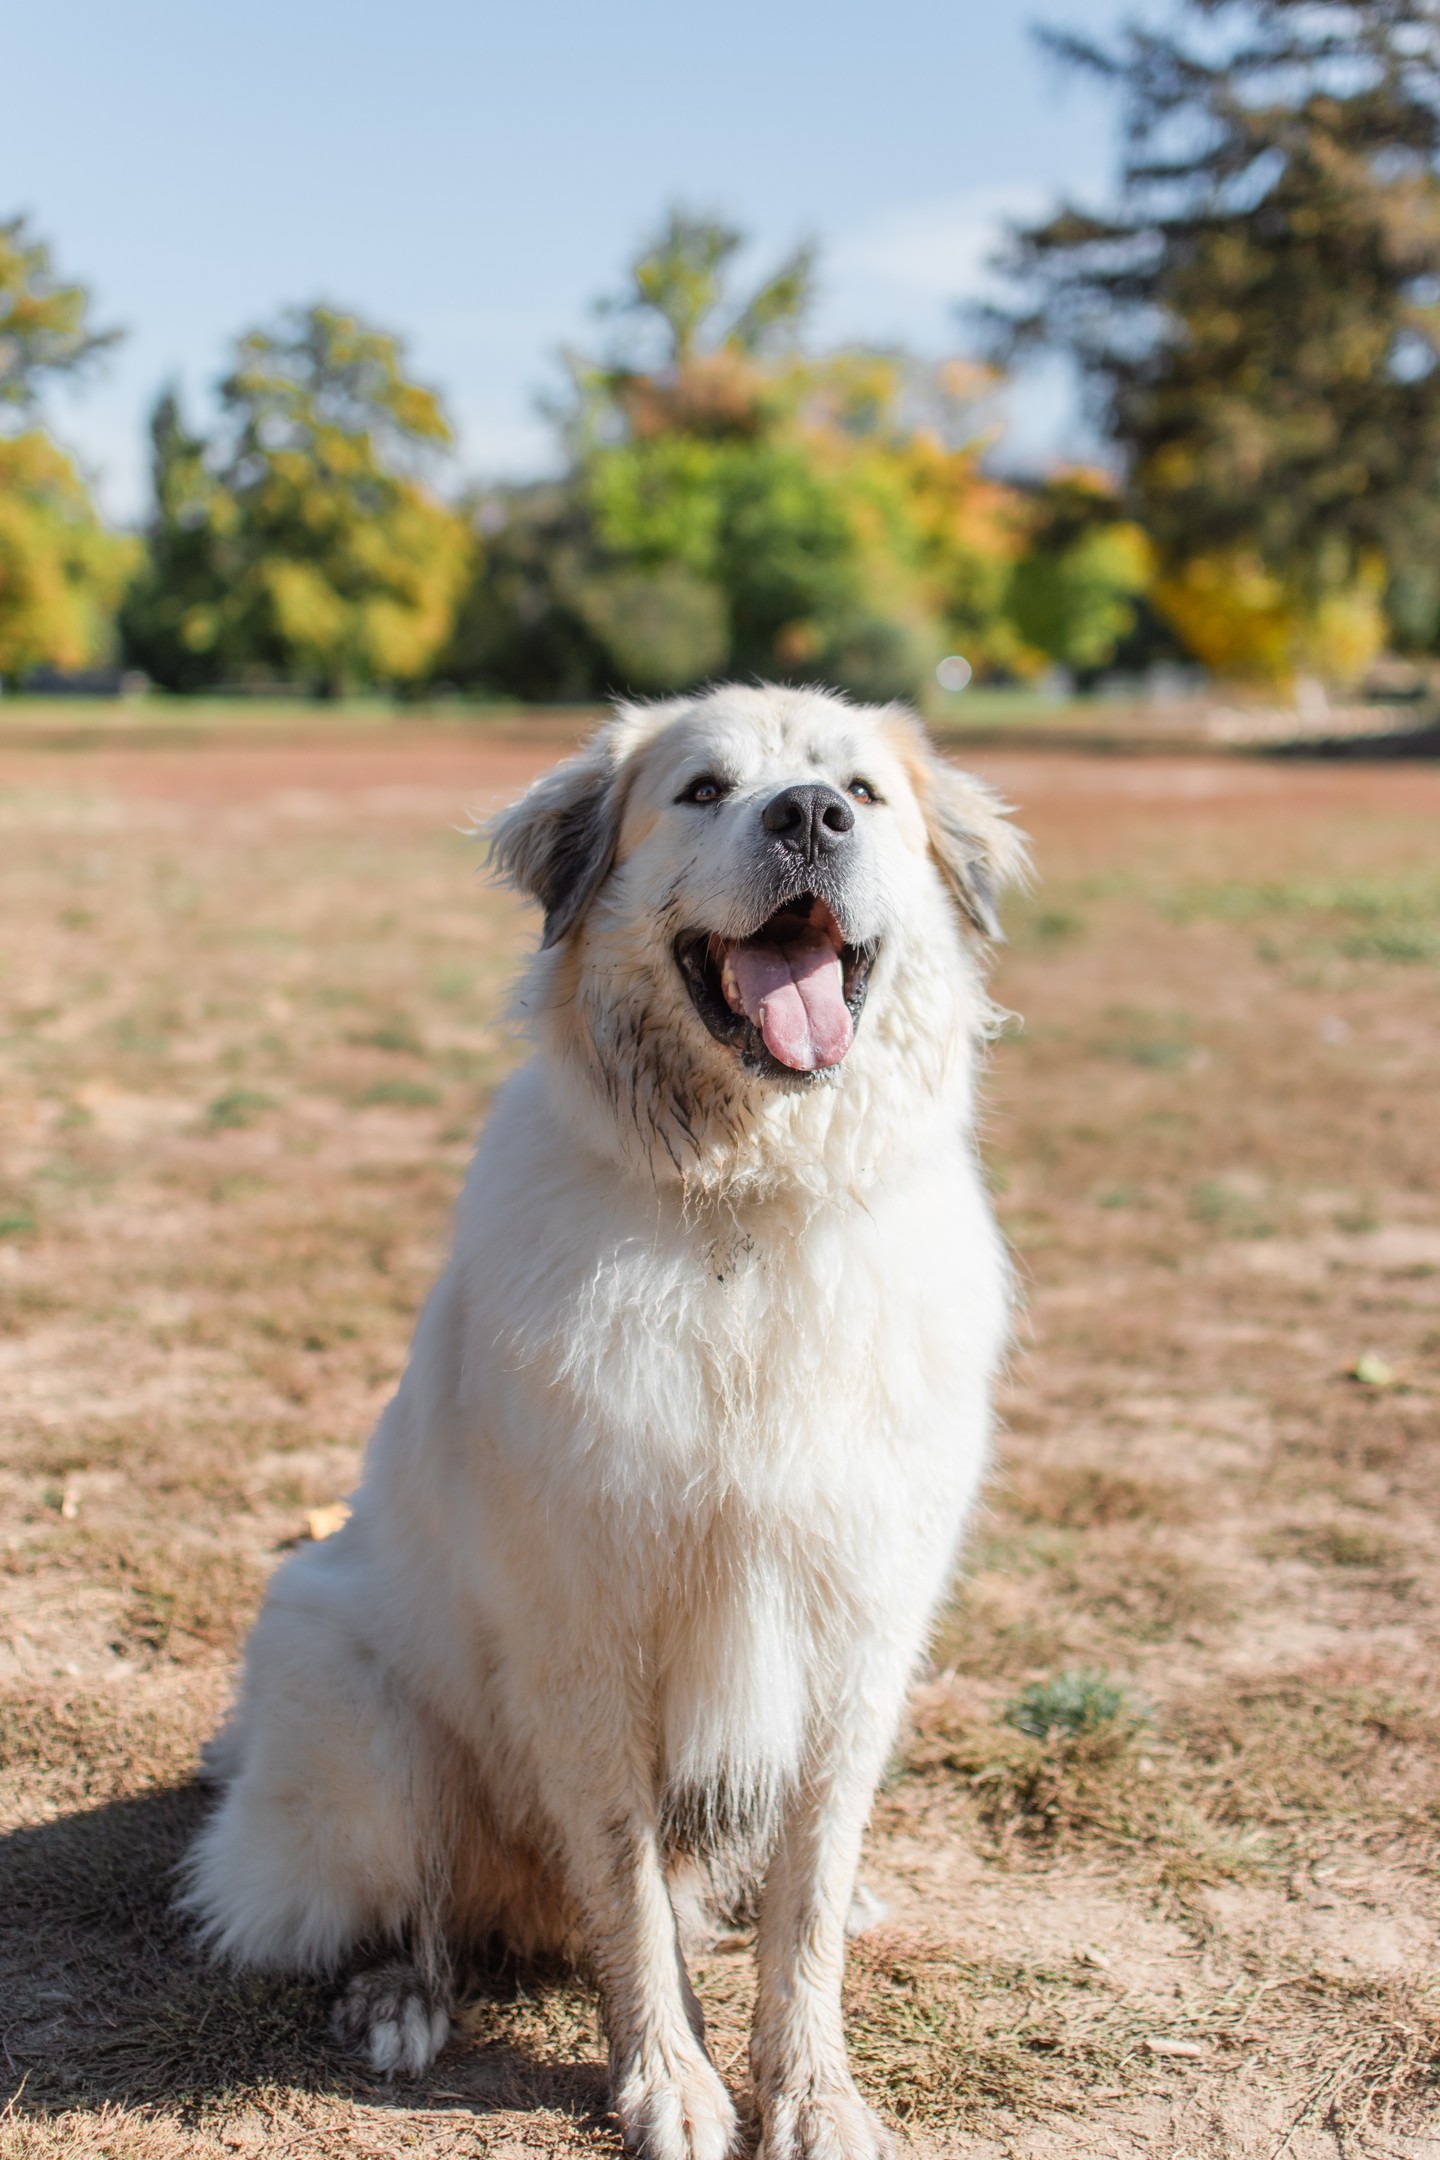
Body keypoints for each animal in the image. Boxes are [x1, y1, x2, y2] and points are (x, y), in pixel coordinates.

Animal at [185, 678, 1031, 2160]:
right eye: (702, 790)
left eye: (862, 793)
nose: (809, 817)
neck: (750, 1203)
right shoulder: (584, 1626)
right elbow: (628, 1894)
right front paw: (672, 2085)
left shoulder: (861, 1626)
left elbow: (808, 1894)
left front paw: (812, 2090)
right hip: (345, 1696)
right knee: (412, 1901)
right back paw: (398, 2000)